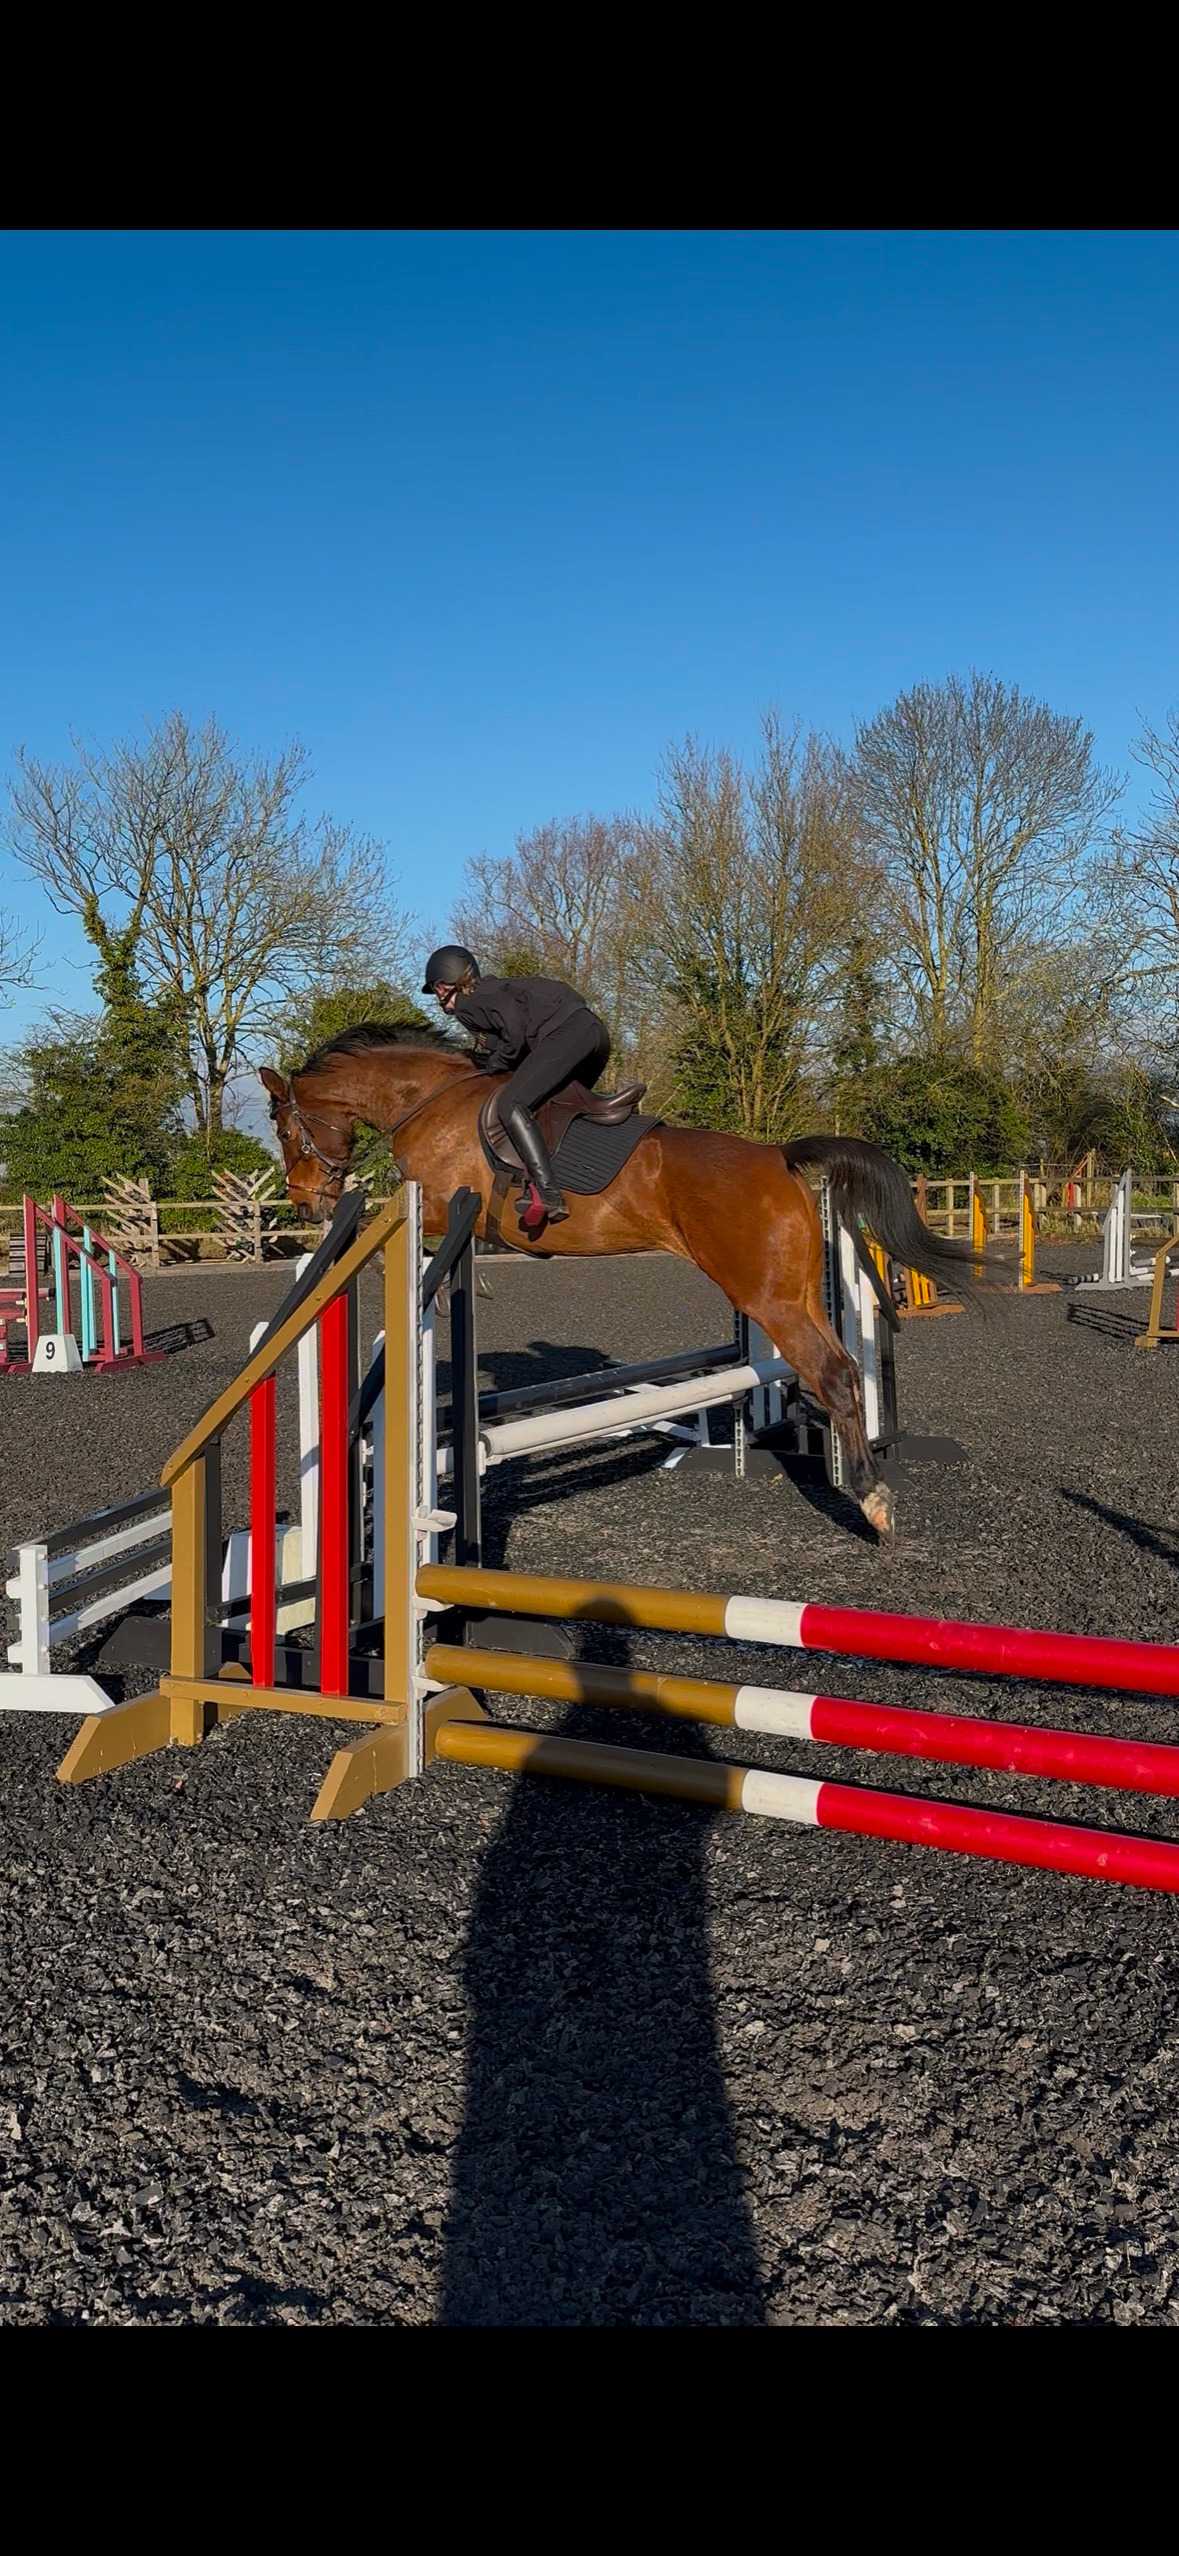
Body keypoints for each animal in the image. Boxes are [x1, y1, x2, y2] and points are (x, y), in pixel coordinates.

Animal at [260, 1025, 974, 1539]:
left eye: (286, 1129)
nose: (305, 1204)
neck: (425, 1102)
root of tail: (777, 1155)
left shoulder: (438, 1202)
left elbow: (390, 1234)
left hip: (768, 1298)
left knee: (831, 1374)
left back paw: (872, 1501)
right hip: (794, 1294)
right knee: (845, 1371)